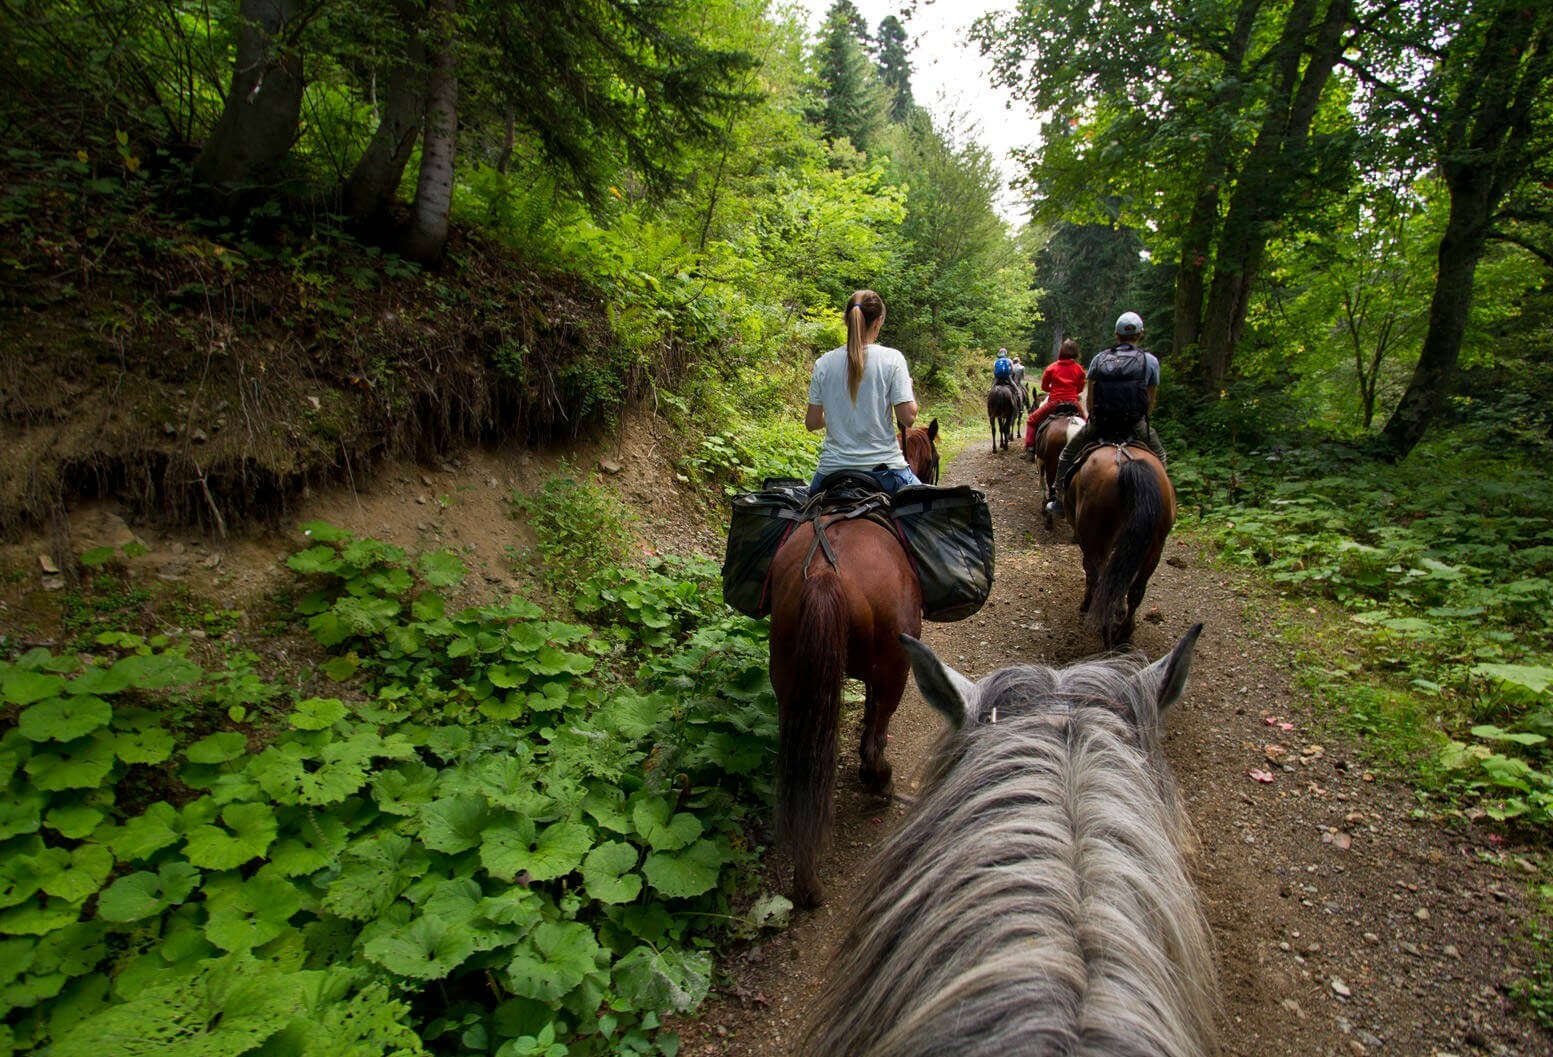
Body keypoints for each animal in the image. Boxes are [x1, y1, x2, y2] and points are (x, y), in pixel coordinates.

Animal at [764, 431, 931, 900]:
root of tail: (824, 572)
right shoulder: (887, 668)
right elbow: (873, 721)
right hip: (896, 667)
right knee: (876, 739)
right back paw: (881, 783)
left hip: (788, 675)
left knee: (803, 769)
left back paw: (806, 884)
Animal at [1068, 443, 1174, 648]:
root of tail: (1128, 464)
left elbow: (1091, 573)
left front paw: (1086, 604)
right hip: (1155, 548)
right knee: (1135, 590)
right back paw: (1123, 633)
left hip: (1099, 541)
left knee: (1104, 584)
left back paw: (1107, 631)